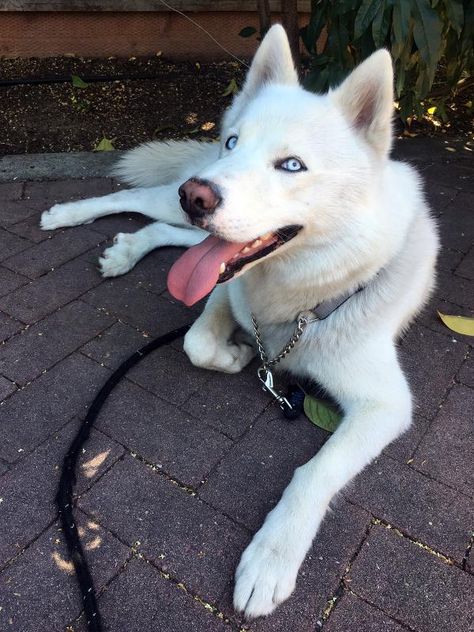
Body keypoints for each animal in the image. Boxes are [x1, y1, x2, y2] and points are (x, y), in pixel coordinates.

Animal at [40, 25, 436, 624]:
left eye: (291, 165)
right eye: (233, 143)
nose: (198, 193)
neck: (300, 302)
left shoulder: (385, 405)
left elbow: (314, 471)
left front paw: (271, 559)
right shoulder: (226, 291)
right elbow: (196, 341)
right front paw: (234, 355)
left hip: (191, 226)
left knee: (164, 229)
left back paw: (127, 250)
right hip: (179, 211)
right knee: (139, 199)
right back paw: (67, 215)